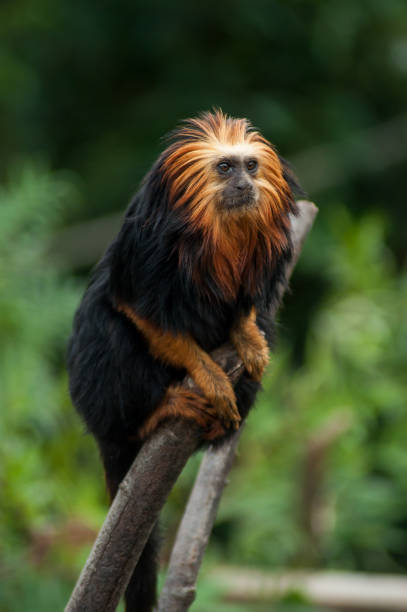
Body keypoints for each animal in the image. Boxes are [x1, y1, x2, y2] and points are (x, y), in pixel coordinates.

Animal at [67, 111, 302, 612]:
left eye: (250, 166)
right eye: (224, 168)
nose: (243, 184)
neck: (219, 235)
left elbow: (248, 314)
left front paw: (248, 337)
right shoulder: (145, 248)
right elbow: (136, 310)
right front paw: (210, 377)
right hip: (102, 402)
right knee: (109, 329)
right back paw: (159, 412)